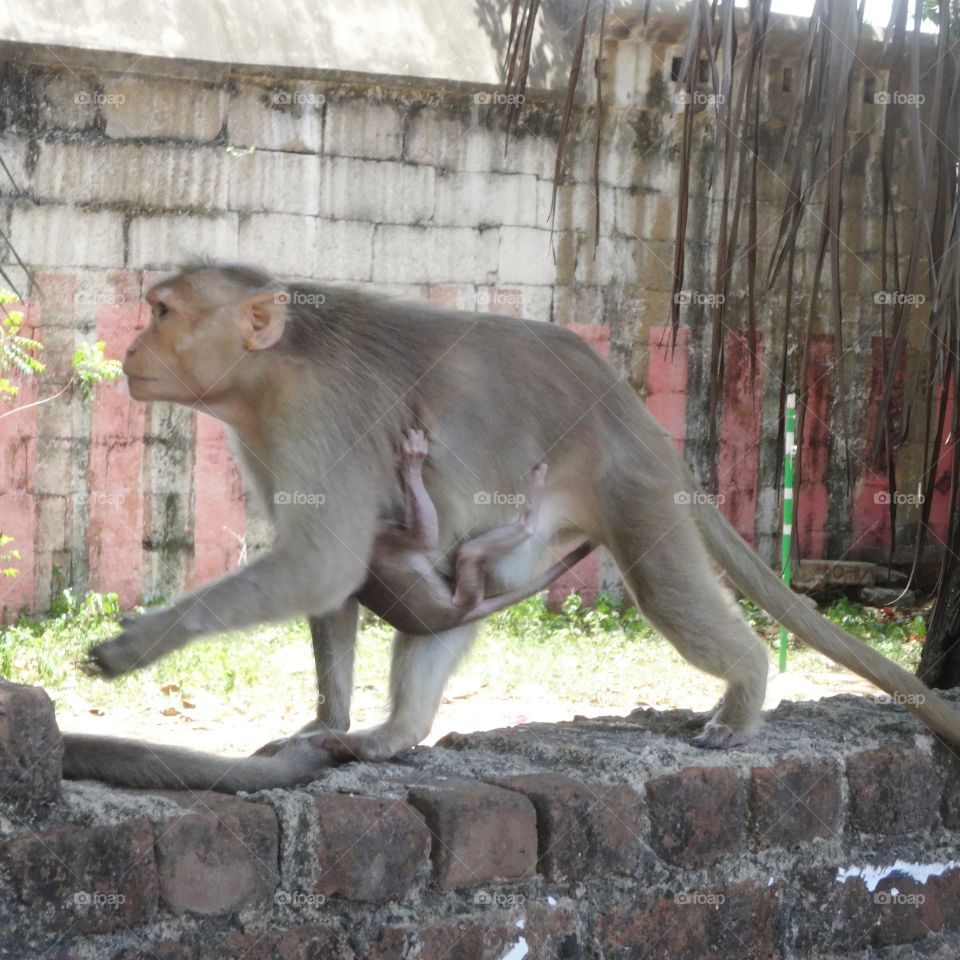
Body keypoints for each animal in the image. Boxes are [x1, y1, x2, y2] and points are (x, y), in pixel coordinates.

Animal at [60, 260, 960, 792]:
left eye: (163, 311)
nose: (131, 343)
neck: (273, 366)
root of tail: (636, 412)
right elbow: (334, 583)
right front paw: (329, 721)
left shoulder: (315, 417)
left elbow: (322, 564)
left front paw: (137, 645)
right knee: (449, 606)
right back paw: (395, 736)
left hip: (632, 488)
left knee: (668, 592)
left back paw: (743, 693)